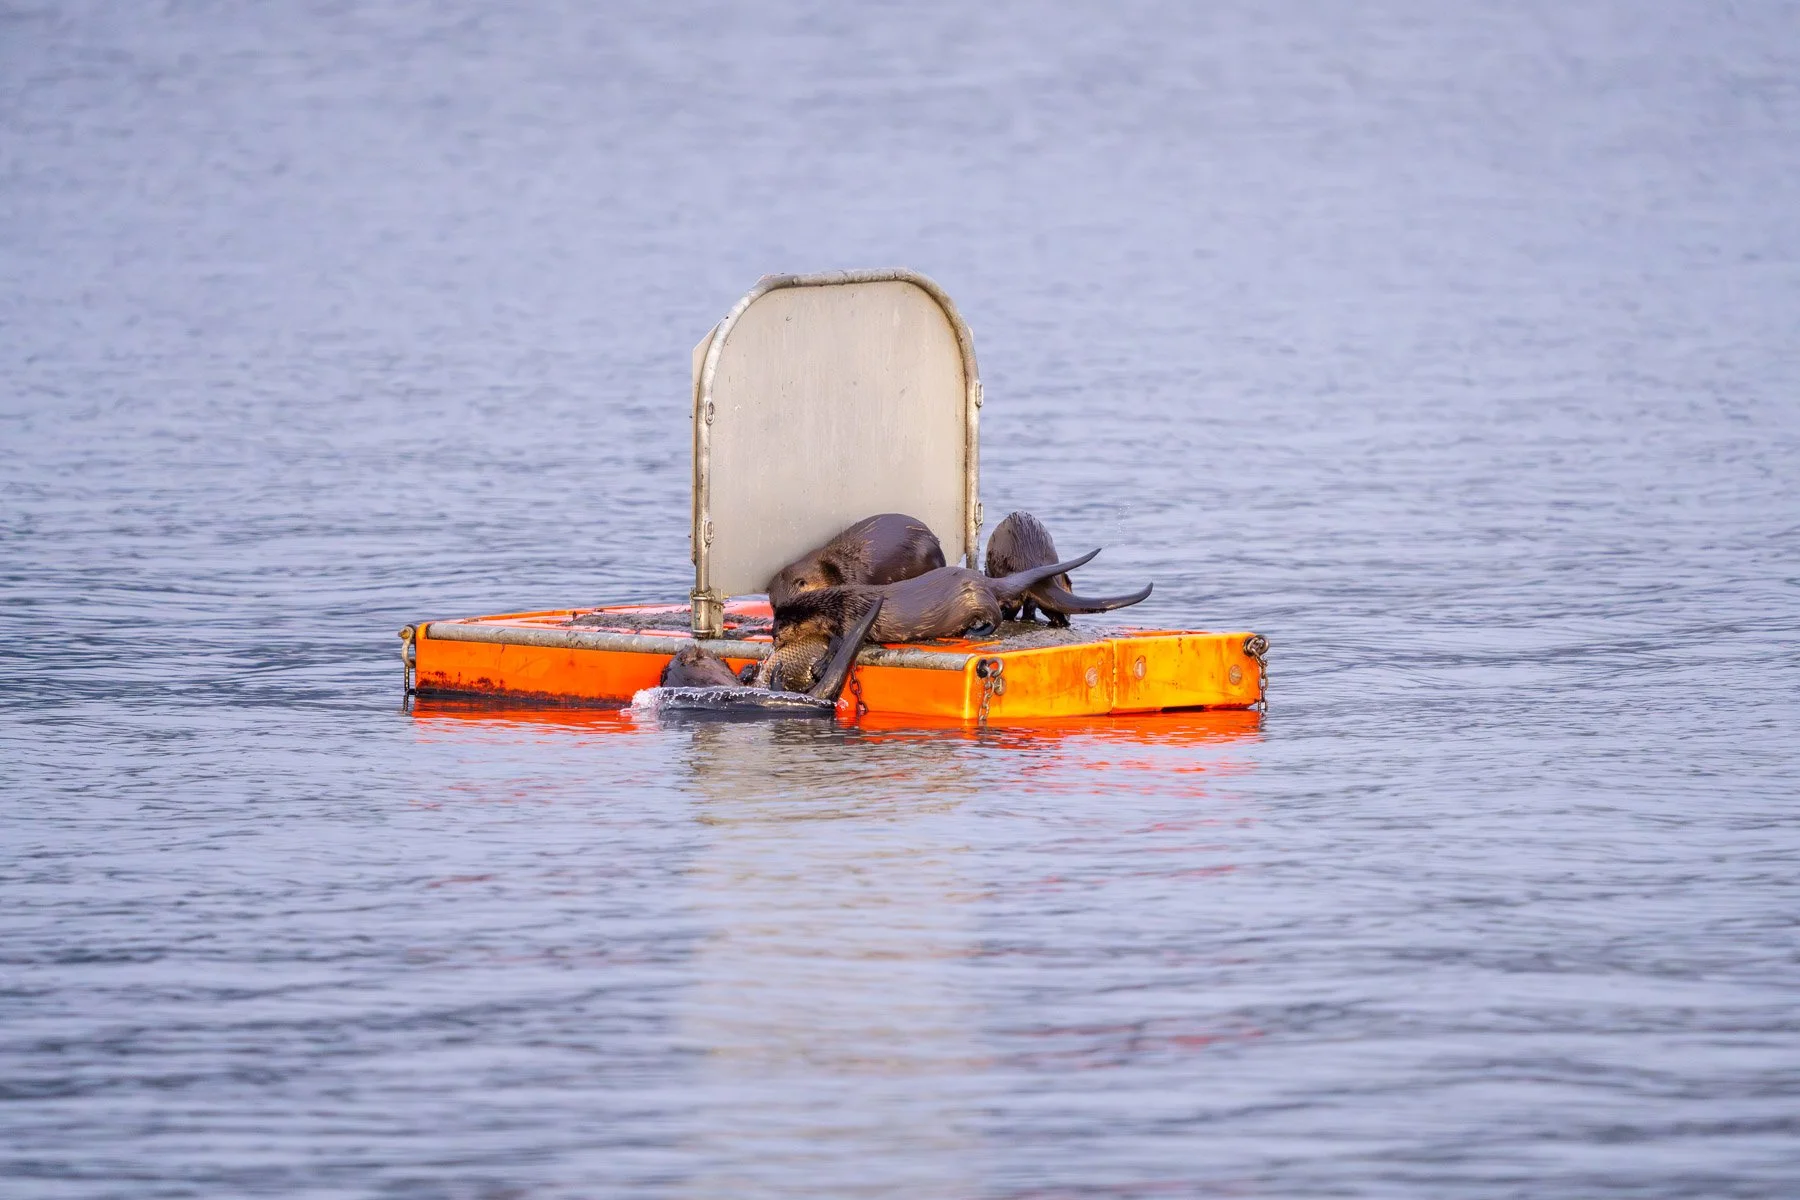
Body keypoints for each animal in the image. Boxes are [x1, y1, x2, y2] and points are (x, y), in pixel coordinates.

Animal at [758, 551, 1101, 692]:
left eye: (781, 627)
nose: (773, 637)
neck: (836, 604)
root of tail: (983, 580)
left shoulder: (851, 616)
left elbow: (839, 643)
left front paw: (820, 665)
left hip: (977, 598)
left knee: (996, 614)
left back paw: (976, 632)